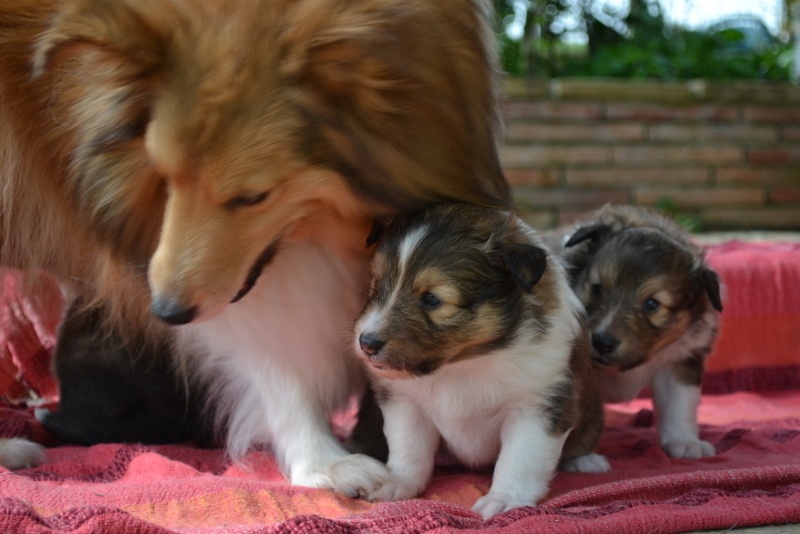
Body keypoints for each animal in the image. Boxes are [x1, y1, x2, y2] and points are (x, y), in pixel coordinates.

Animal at [353, 204, 608, 519]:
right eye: (375, 286)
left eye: (432, 299)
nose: (367, 343)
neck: (463, 364)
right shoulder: (405, 401)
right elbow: (409, 447)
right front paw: (397, 484)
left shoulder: (538, 405)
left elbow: (520, 458)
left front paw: (504, 499)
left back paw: (586, 461)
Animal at [552, 204, 723, 459]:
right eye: (597, 289)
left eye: (652, 304)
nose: (602, 342)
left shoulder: (680, 359)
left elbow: (678, 404)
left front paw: (685, 442)